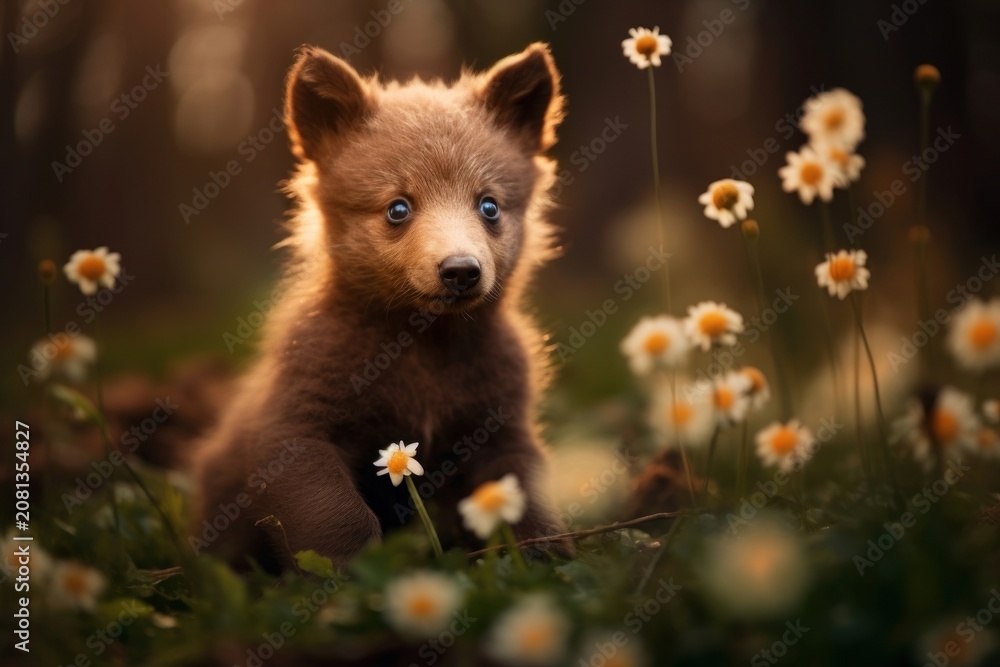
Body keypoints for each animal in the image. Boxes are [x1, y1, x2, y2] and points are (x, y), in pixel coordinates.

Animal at [191, 43, 571, 570]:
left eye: (489, 206)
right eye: (398, 208)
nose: (460, 270)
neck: (424, 349)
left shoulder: (500, 421)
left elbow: (527, 496)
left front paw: (549, 557)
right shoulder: (297, 419)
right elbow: (334, 513)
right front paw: (353, 576)